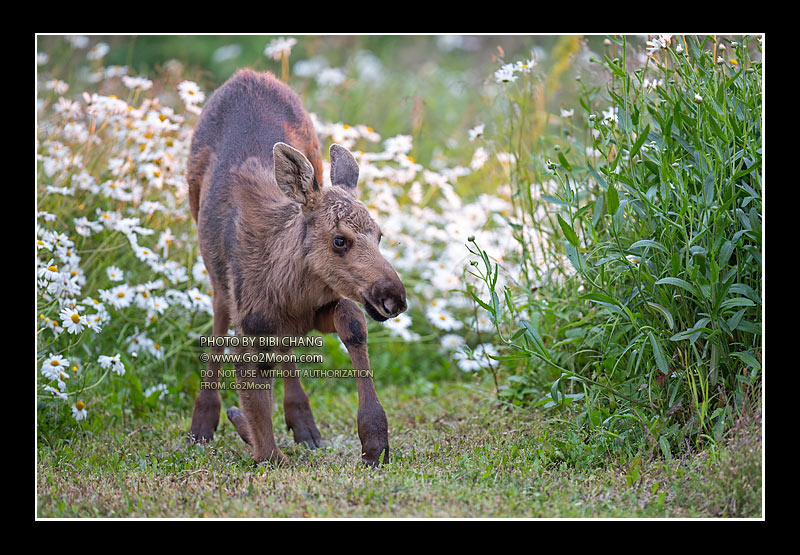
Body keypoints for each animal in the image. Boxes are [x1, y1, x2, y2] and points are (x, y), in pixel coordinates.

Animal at [185, 69, 407, 466]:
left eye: (380, 235)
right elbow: (251, 385)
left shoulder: (322, 305)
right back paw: (202, 425)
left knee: (286, 346)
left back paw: (304, 425)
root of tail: (247, 74)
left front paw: (374, 440)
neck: (289, 291)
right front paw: (263, 447)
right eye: (339, 240)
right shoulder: (250, 321)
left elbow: (353, 323)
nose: (393, 297)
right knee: (219, 317)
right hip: (210, 256)